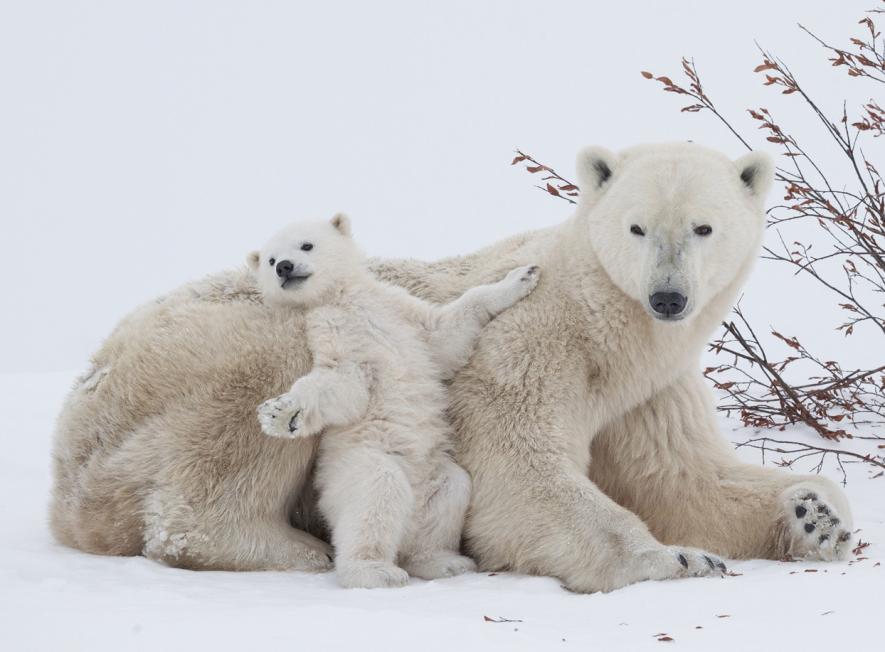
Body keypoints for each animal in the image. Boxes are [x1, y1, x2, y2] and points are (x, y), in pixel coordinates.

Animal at [50, 145, 848, 592]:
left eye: (704, 227)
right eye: (637, 227)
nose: (668, 296)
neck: (610, 329)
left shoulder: (648, 390)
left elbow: (679, 477)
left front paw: (815, 515)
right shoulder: (535, 344)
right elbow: (515, 467)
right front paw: (674, 560)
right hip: (205, 357)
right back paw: (296, 545)